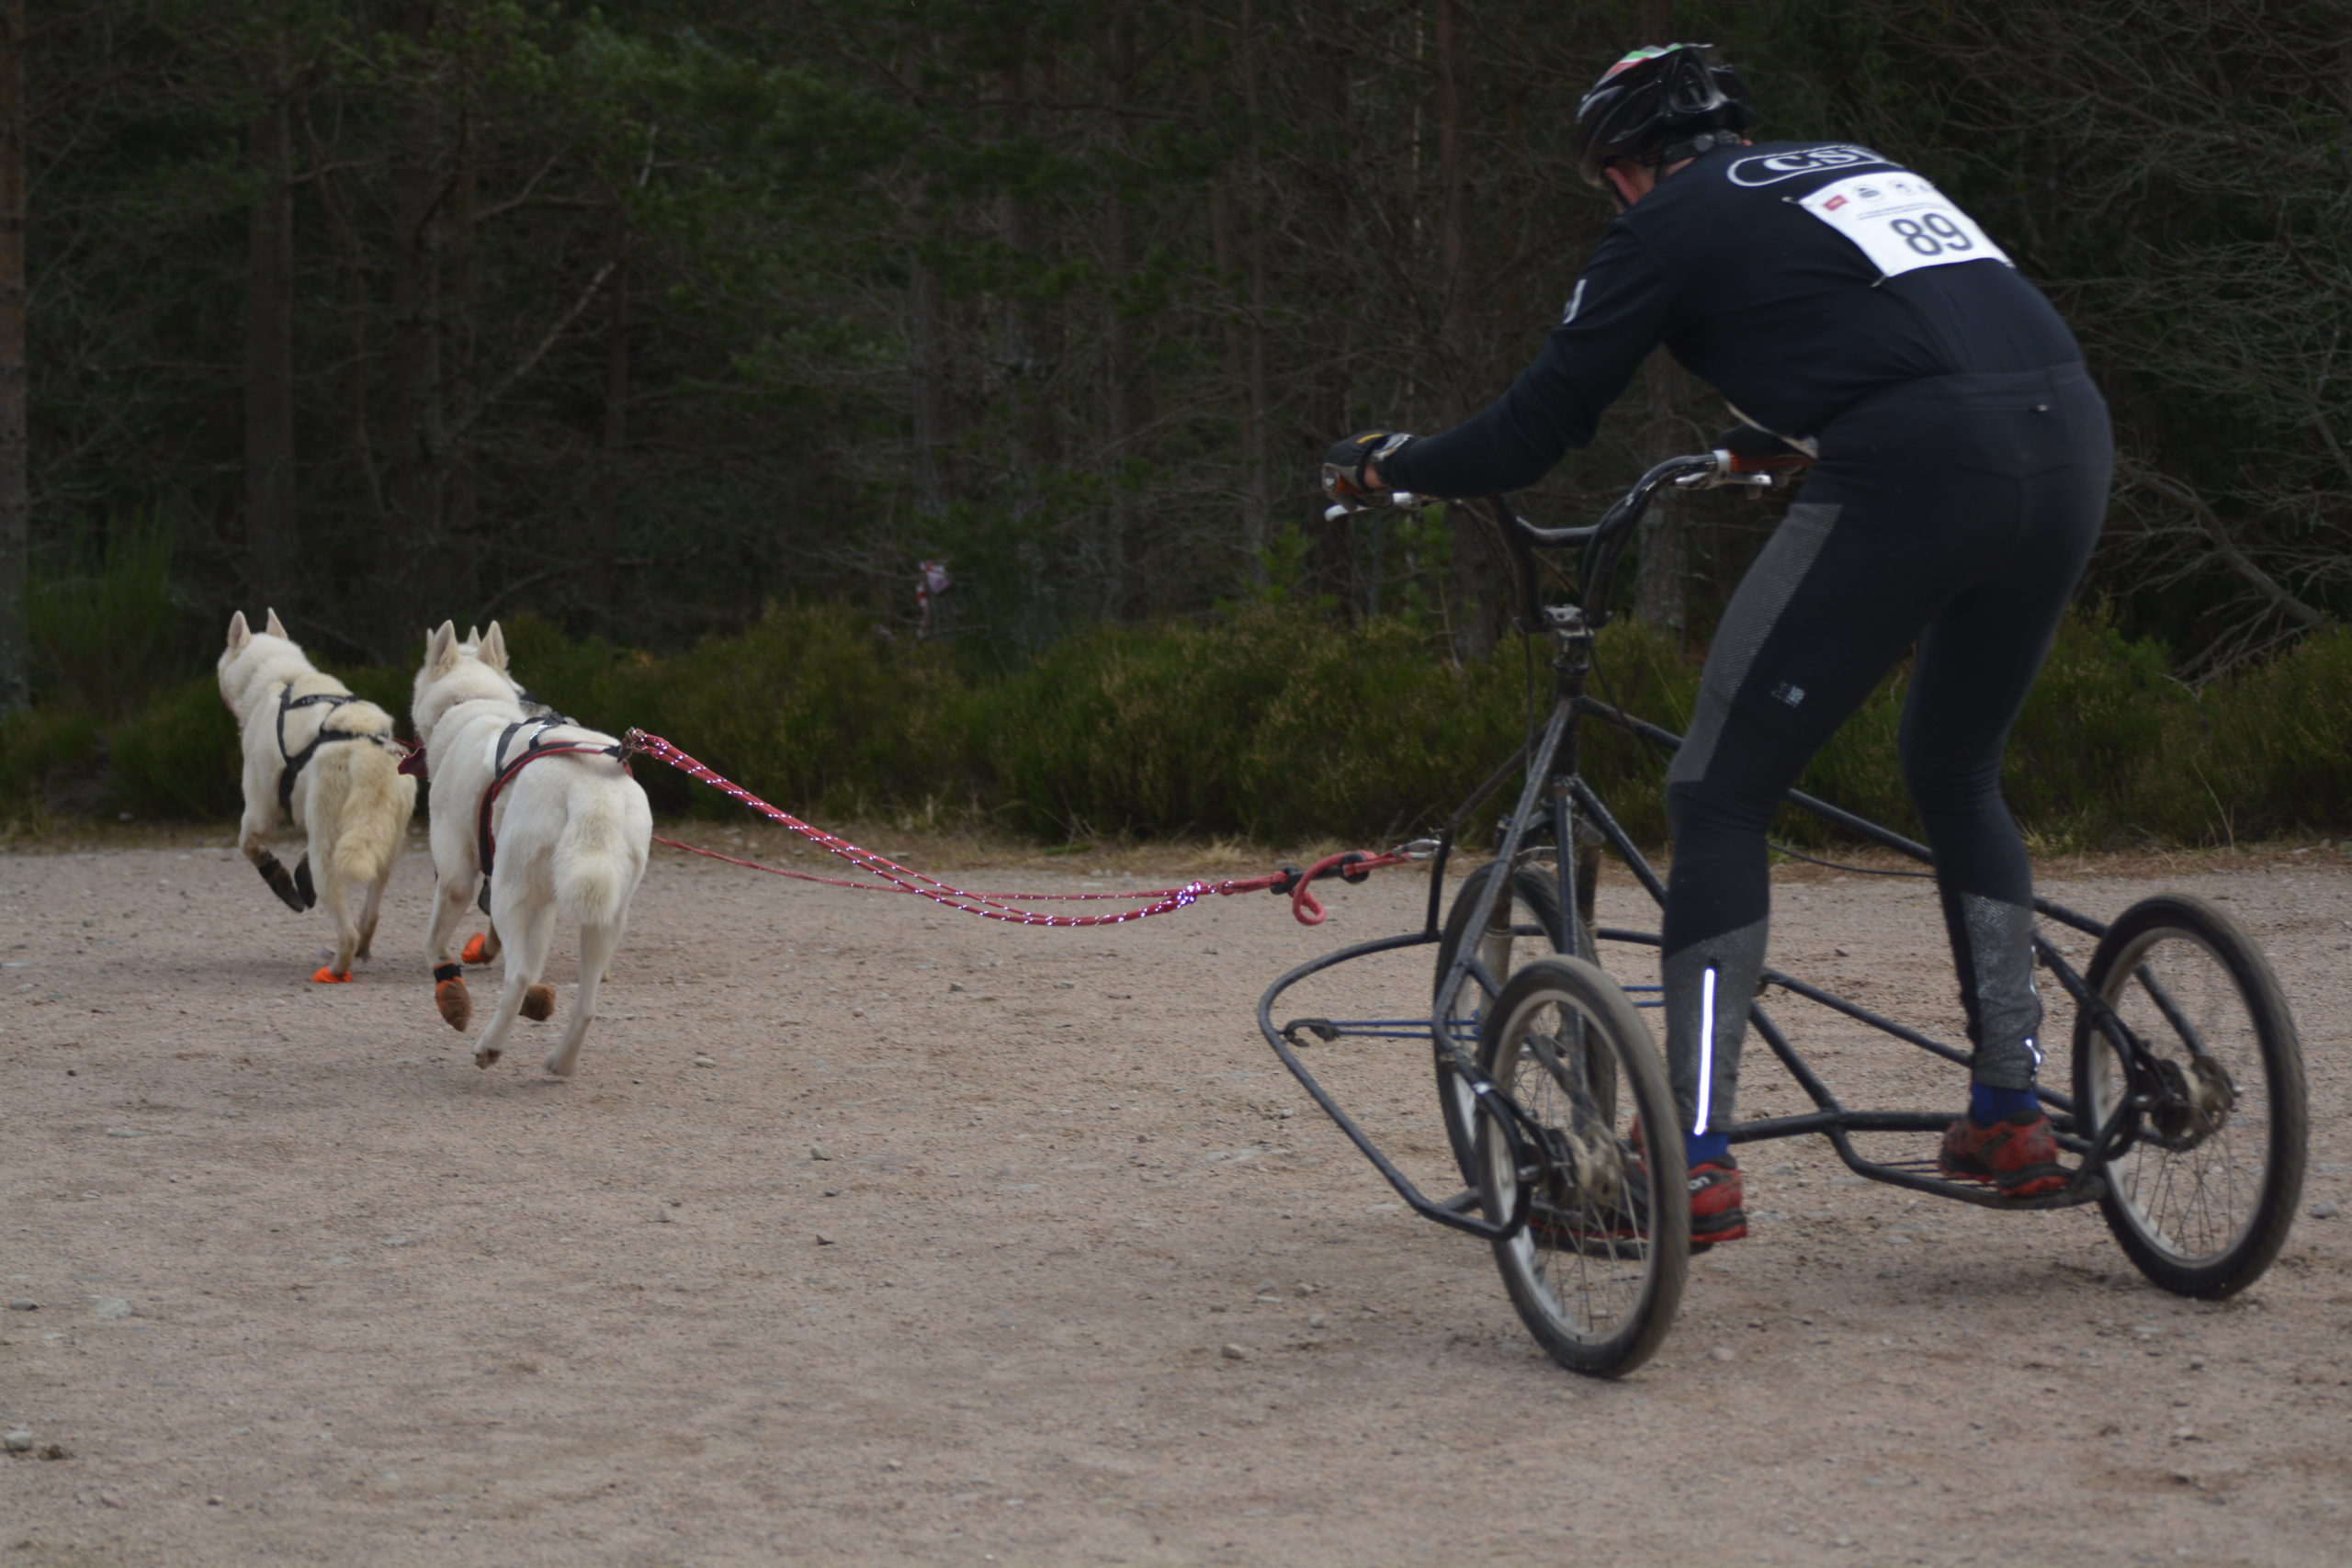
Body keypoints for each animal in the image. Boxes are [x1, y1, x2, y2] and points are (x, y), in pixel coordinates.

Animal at [216, 611, 418, 982]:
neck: (281, 678)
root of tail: (367, 757)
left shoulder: (260, 809)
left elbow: (251, 845)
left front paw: (279, 877)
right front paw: (298, 870)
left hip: (330, 858)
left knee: (347, 929)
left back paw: (337, 967)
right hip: (383, 849)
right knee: (370, 915)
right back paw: (362, 947)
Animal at [412, 615, 649, 1081]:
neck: (473, 705)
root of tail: (593, 793)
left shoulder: (456, 876)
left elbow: (435, 945)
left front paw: (452, 994)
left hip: (512, 889)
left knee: (520, 972)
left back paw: (490, 1046)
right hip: (605, 914)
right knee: (586, 1004)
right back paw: (562, 1061)